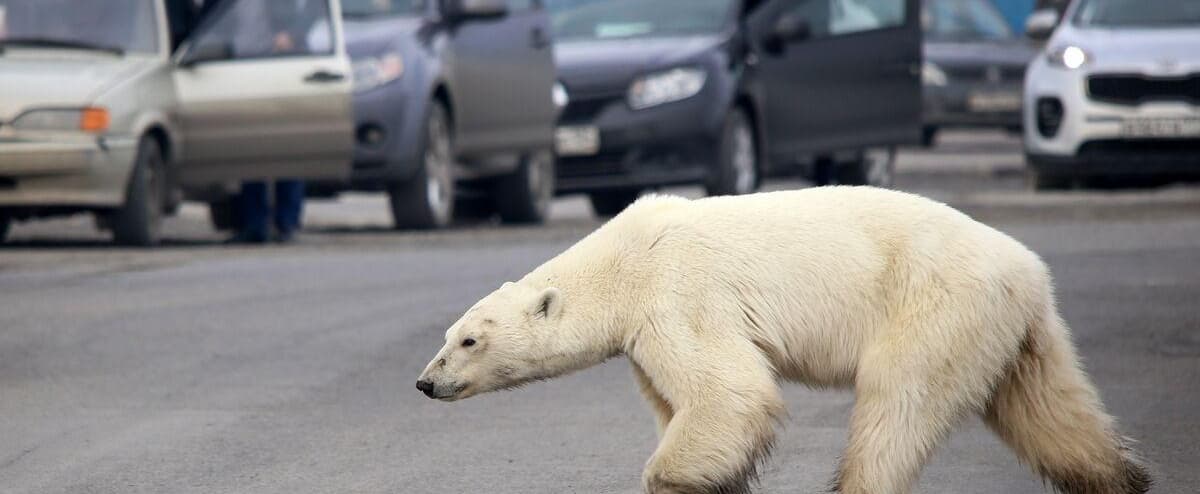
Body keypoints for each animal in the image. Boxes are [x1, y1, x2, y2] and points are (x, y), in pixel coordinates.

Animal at [415, 186, 1151, 494]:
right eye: (449, 335)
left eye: (470, 341)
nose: (425, 381)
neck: (621, 260)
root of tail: (1028, 269)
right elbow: (679, 402)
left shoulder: (679, 294)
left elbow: (728, 392)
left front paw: (679, 478)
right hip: (1014, 329)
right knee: (1050, 411)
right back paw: (1117, 479)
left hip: (934, 307)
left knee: (897, 405)